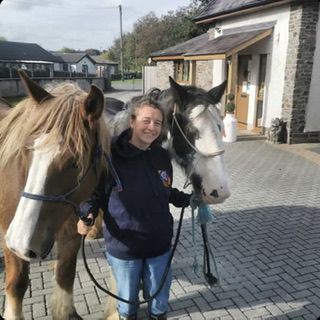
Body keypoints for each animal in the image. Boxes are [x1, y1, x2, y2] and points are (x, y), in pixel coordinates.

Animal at [0, 71, 110, 318]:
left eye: (74, 162)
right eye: (27, 151)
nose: (21, 240)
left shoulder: (71, 234)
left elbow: (65, 275)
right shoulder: (6, 234)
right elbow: (17, 284)